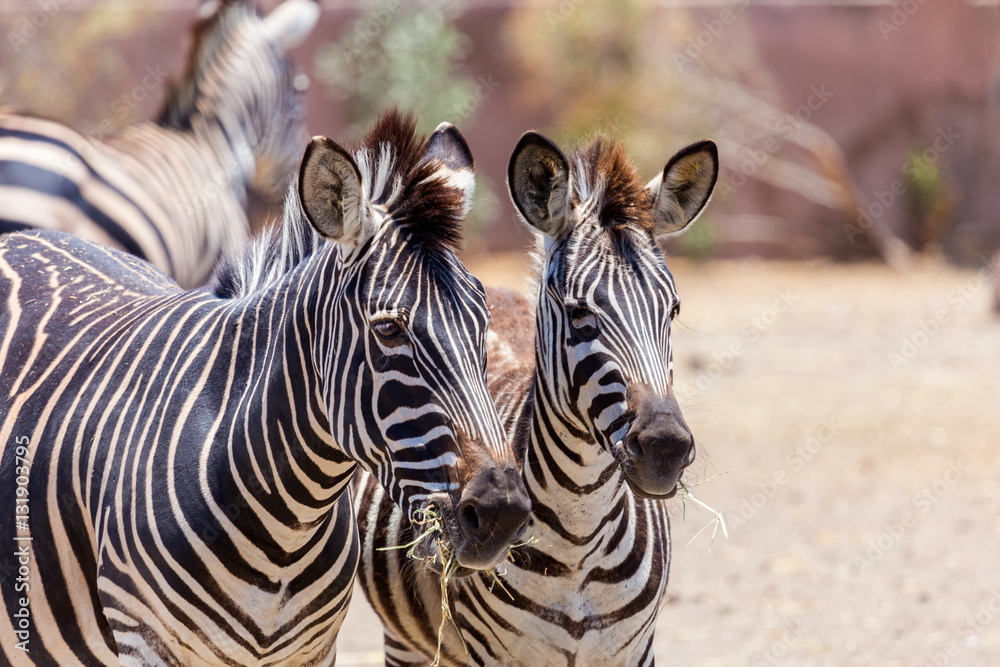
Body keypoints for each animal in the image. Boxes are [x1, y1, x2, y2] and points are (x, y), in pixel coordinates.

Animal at [0, 111, 530, 666]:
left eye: (483, 323)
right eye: (388, 329)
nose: (502, 513)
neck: (286, 532)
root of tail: (26, 236)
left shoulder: (315, 652)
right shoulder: (141, 642)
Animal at [356, 132, 719, 666]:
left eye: (672, 310)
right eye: (578, 313)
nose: (665, 449)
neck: (580, 542)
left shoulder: (635, 651)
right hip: (405, 640)